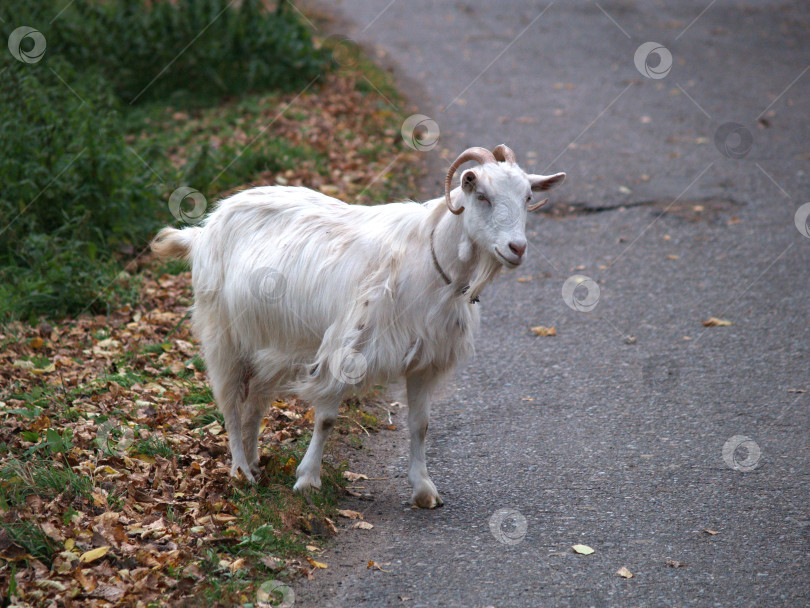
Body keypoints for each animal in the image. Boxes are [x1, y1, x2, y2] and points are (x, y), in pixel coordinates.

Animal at [151, 145, 565, 508]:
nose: (517, 248)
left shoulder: (425, 360)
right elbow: (327, 419)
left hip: (273, 344)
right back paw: (240, 471)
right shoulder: (346, 348)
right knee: (230, 404)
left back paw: (253, 464)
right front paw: (307, 480)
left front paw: (423, 489)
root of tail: (204, 228)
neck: (432, 262)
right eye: (481, 195)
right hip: (223, 335)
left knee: (253, 406)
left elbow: (420, 424)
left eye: (528, 197)